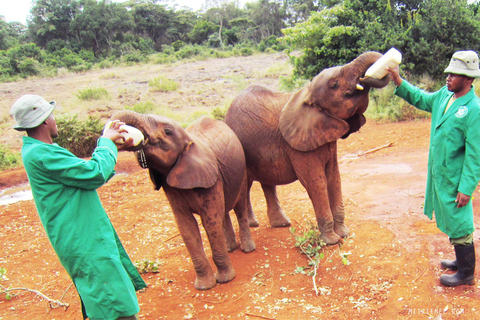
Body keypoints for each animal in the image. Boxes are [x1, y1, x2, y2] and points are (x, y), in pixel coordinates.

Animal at [113, 111, 255, 292]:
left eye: (167, 131)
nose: (123, 133)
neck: (190, 141)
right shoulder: (171, 186)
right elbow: (186, 226)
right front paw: (204, 286)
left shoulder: (211, 178)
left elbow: (210, 222)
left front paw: (225, 280)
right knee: (223, 211)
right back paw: (230, 248)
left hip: (240, 170)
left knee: (239, 205)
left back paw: (247, 249)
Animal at [225, 51, 390, 244]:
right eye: (334, 84)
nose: (366, 76)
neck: (308, 94)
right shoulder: (299, 147)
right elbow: (316, 181)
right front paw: (332, 241)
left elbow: (334, 177)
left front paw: (344, 233)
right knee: (245, 186)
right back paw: (254, 225)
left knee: (266, 183)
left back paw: (280, 223)